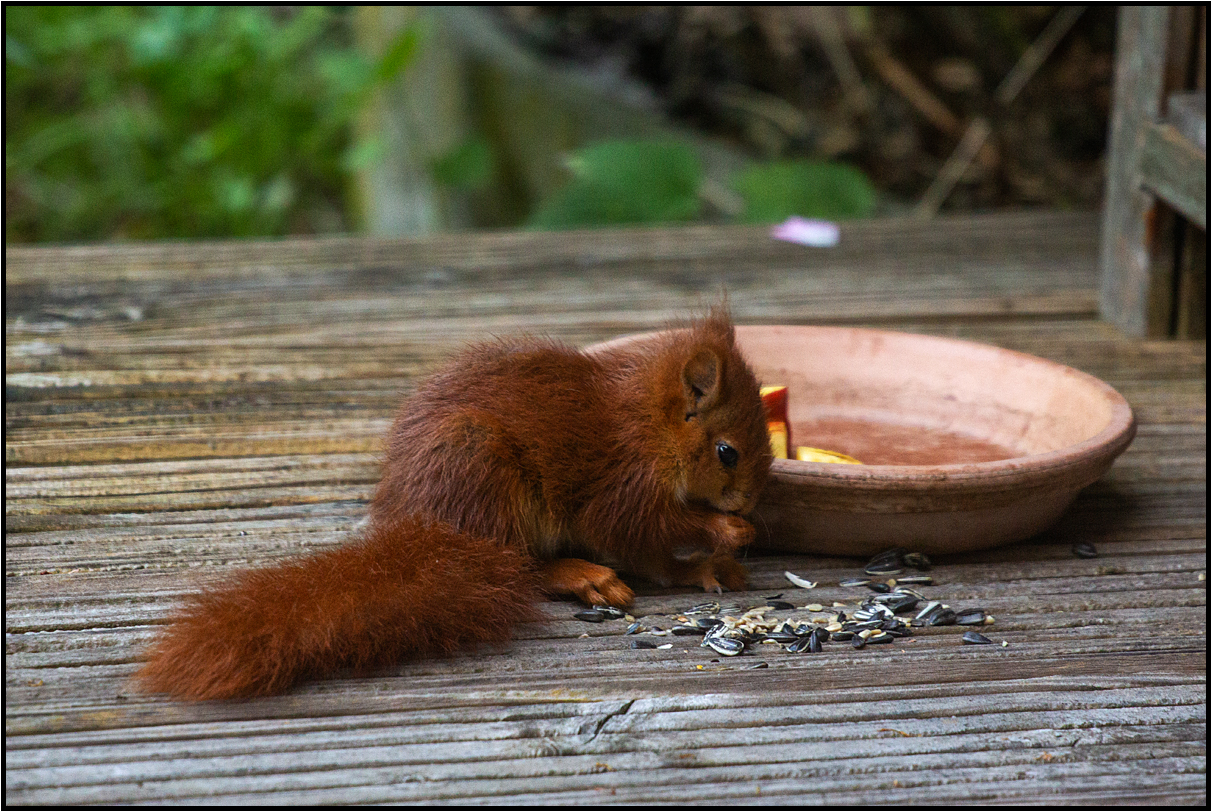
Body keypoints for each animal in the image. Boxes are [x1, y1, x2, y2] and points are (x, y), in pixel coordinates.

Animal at [137, 309, 770, 702]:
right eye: (727, 452)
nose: (751, 502)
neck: (649, 424)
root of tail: (429, 532)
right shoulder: (623, 484)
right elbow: (646, 532)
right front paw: (726, 532)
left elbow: (656, 557)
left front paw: (714, 559)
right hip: (484, 473)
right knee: (520, 569)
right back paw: (579, 575)